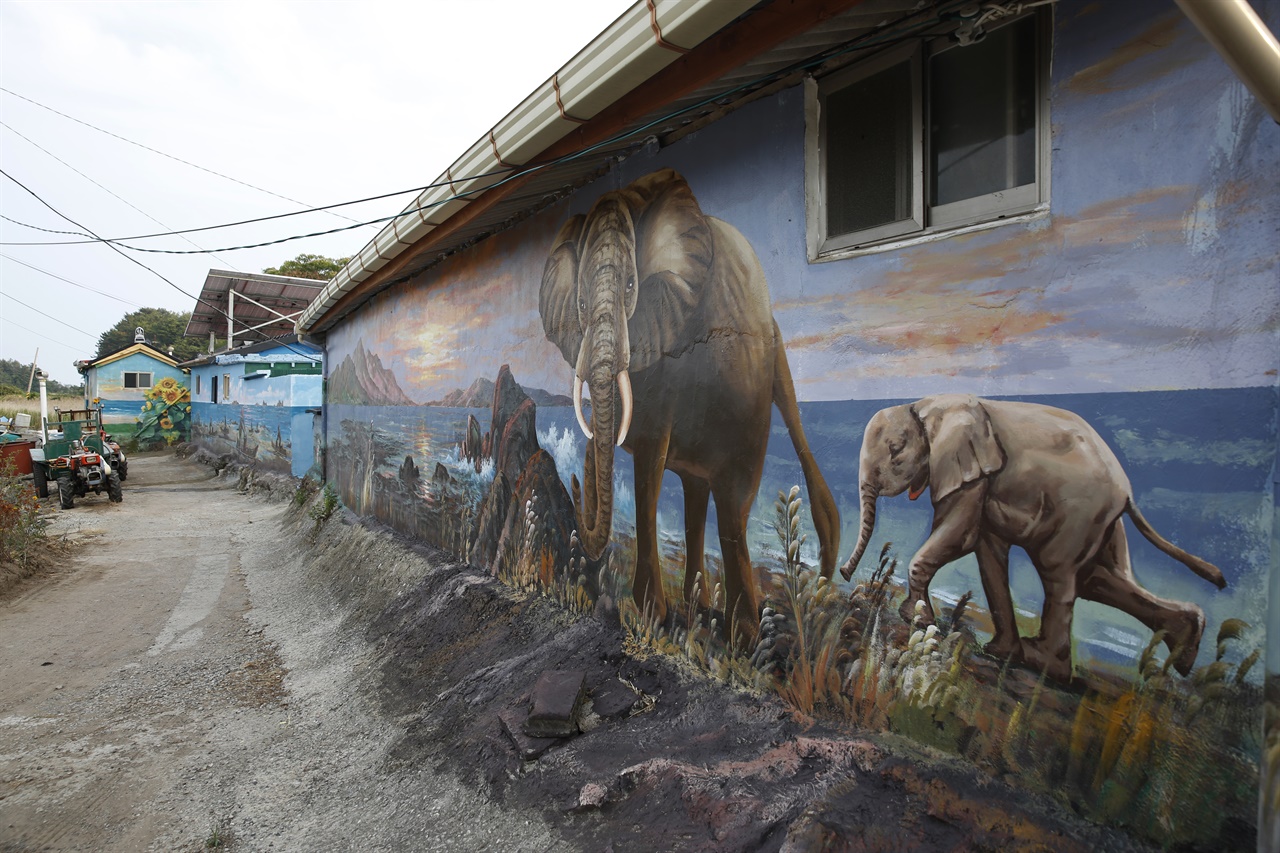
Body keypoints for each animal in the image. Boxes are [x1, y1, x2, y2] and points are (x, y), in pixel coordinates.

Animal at [537, 167, 839, 645]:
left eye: (631, 286)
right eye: (580, 304)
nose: (575, 479)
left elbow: (649, 465)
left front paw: (649, 614)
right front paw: (656, 613)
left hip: (751, 390)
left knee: (732, 502)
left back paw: (742, 634)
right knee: (698, 495)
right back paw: (697, 606)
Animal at [839, 394, 1228, 681]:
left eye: (895, 450)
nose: (843, 573)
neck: (926, 406)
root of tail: (1127, 490)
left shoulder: (971, 471)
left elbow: (961, 535)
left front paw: (918, 621)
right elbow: (986, 551)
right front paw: (994, 650)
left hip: (1082, 510)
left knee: (1060, 573)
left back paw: (1041, 662)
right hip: (1104, 522)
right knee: (1095, 579)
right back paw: (1188, 643)